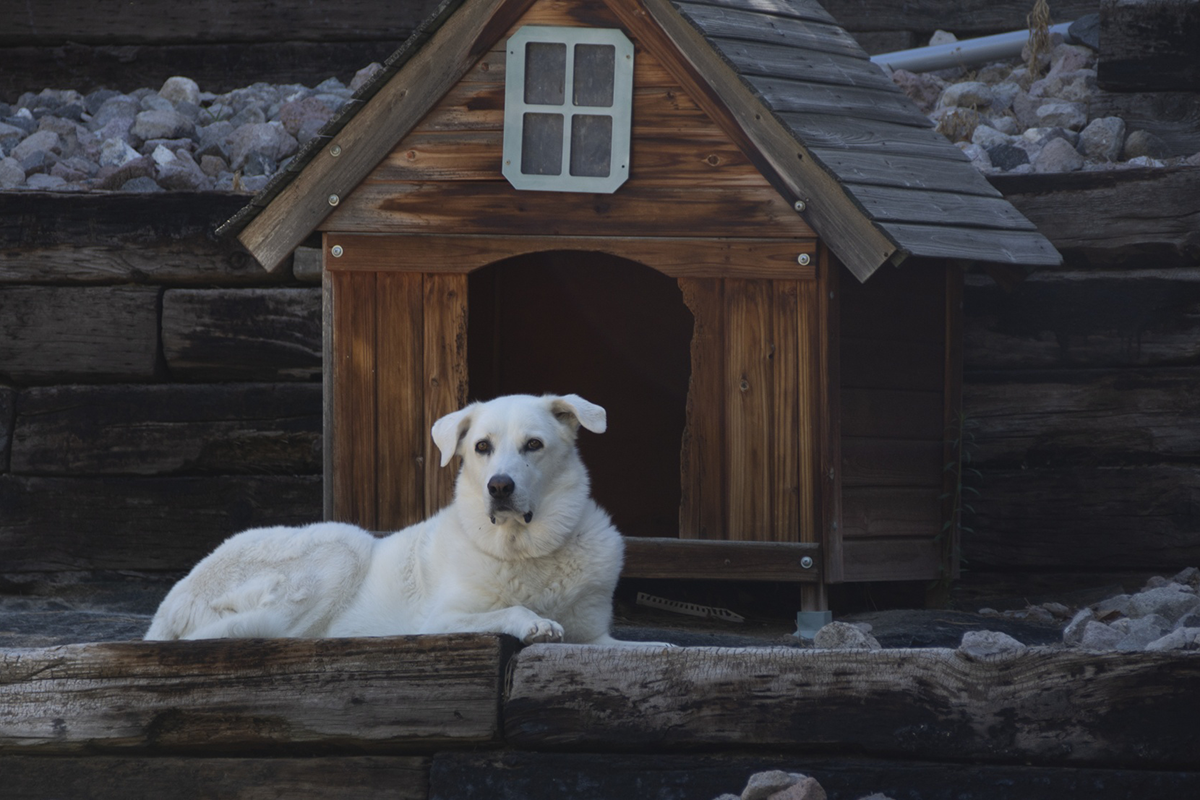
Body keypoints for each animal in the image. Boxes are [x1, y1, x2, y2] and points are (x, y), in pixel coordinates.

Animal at [145, 395, 662, 652]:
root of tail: (170, 603)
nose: (499, 487)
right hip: (343, 546)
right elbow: (507, 610)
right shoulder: (442, 620)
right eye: (481, 447)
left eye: (533, 444)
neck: (527, 549)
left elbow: (649, 647)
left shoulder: (595, 637)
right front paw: (534, 623)